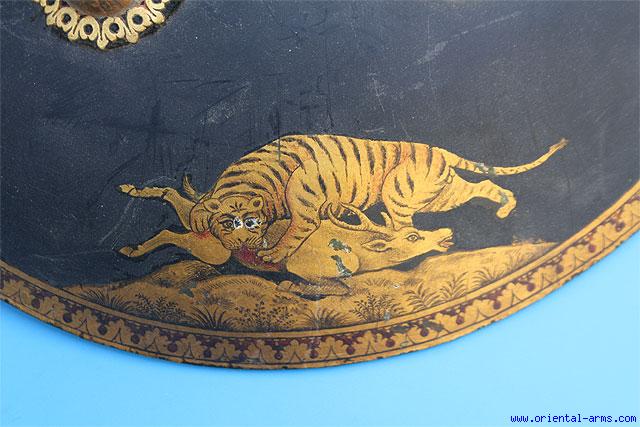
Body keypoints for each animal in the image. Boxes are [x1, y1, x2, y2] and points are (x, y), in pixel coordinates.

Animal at [188, 134, 568, 263]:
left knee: (404, 229)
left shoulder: (305, 212)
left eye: (251, 222)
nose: (243, 242)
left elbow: (294, 234)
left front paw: (271, 254)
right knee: (485, 184)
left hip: (398, 195)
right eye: (229, 223)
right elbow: (199, 206)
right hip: (442, 194)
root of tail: (439, 150)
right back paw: (506, 208)